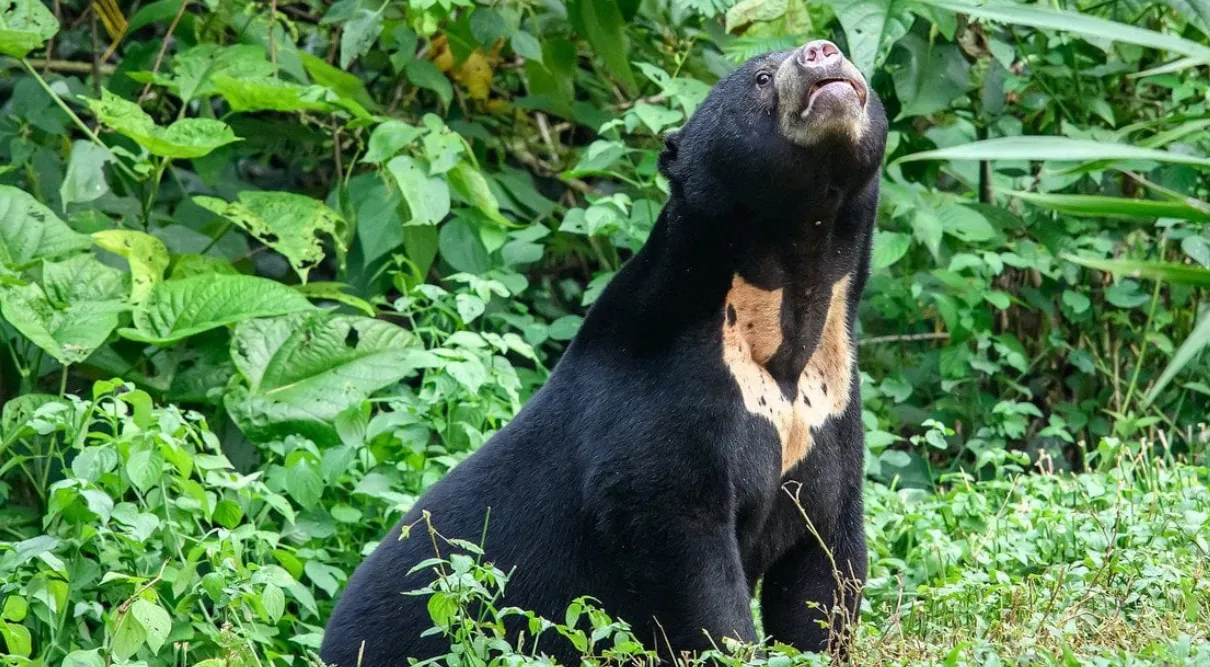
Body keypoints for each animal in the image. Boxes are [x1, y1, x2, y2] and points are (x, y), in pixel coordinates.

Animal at [321, 38, 888, 667]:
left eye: (838, 49)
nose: (822, 52)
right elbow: (691, 568)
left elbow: (825, 571)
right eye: (761, 78)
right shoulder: (663, 411)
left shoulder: (830, 417)